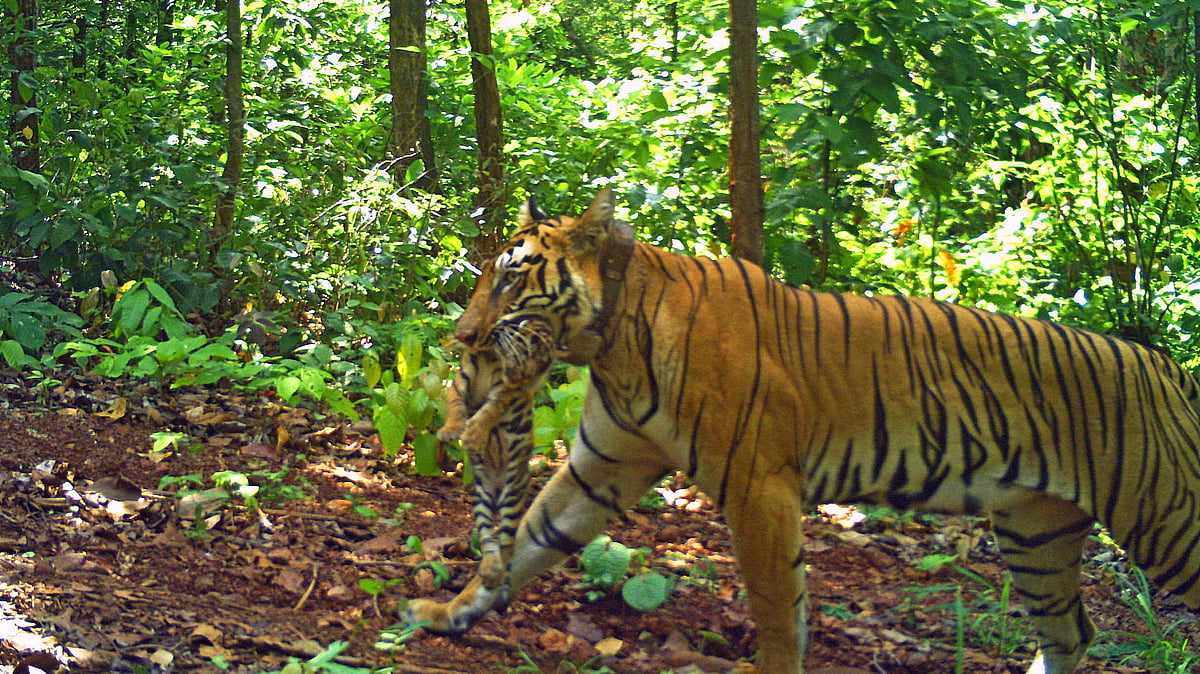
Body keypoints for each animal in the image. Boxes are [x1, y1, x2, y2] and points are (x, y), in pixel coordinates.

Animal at [405, 187, 1200, 674]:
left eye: (513, 278)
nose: (462, 338)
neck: (613, 341)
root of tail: (1168, 368)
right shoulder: (602, 465)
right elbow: (531, 537)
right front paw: (453, 610)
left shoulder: (758, 487)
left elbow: (777, 603)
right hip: (1037, 534)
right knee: (1071, 635)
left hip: (1167, 521)